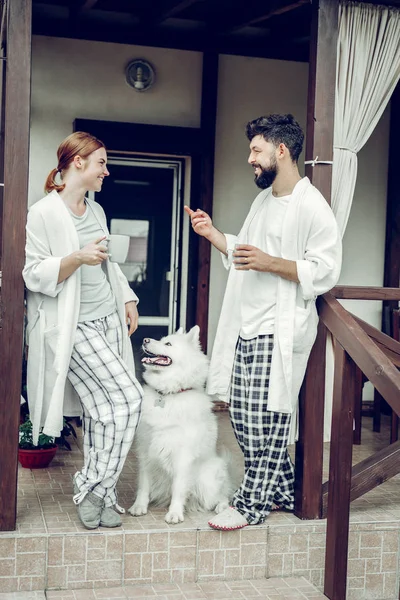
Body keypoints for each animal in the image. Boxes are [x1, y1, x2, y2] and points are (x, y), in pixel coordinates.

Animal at [129, 326, 231, 524]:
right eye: (161, 340)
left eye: (168, 344)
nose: (145, 339)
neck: (168, 394)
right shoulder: (146, 451)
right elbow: (143, 485)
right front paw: (139, 506)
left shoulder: (183, 457)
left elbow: (178, 488)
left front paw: (174, 513)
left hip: (206, 480)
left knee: (223, 496)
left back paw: (222, 509)